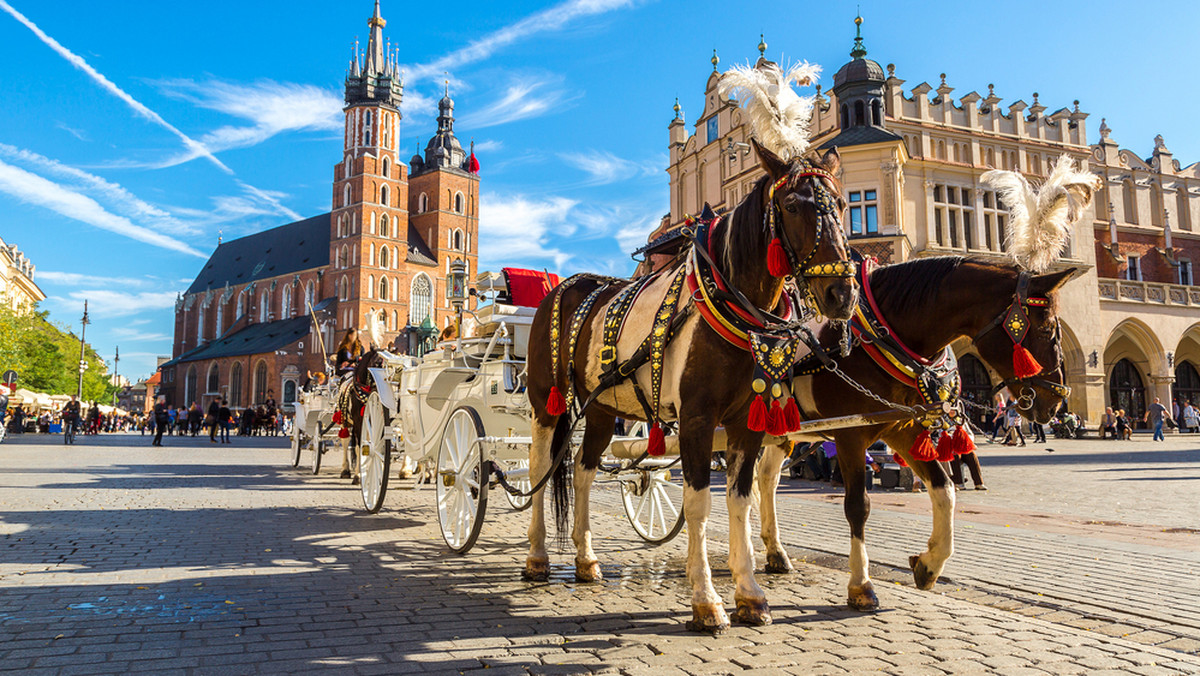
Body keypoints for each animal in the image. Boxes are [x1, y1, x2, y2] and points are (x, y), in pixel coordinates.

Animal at [530, 142, 859, 633]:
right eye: (792, 206)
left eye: (841, 205)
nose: (842, 294)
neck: (729, 303)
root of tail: (562, 286)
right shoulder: (697, 420)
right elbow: (699, 503)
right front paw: (706, 601)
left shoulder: (747, 422)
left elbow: (740, 501)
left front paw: (750, 594)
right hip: (545, 402)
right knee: (538, 467)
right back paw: (536, 557)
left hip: (602, 409)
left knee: (584, 471)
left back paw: (587, 560)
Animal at [753, 255, 1075, 614]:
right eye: (1048, 329)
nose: (1057, 400)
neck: (878, 338)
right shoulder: (851, 434)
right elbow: (857, 506)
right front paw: (861, 585)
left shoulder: (901, 428)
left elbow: (945, 489)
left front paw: (929, 563)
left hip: (782, 430)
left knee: (765, 479)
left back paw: (775, 553)